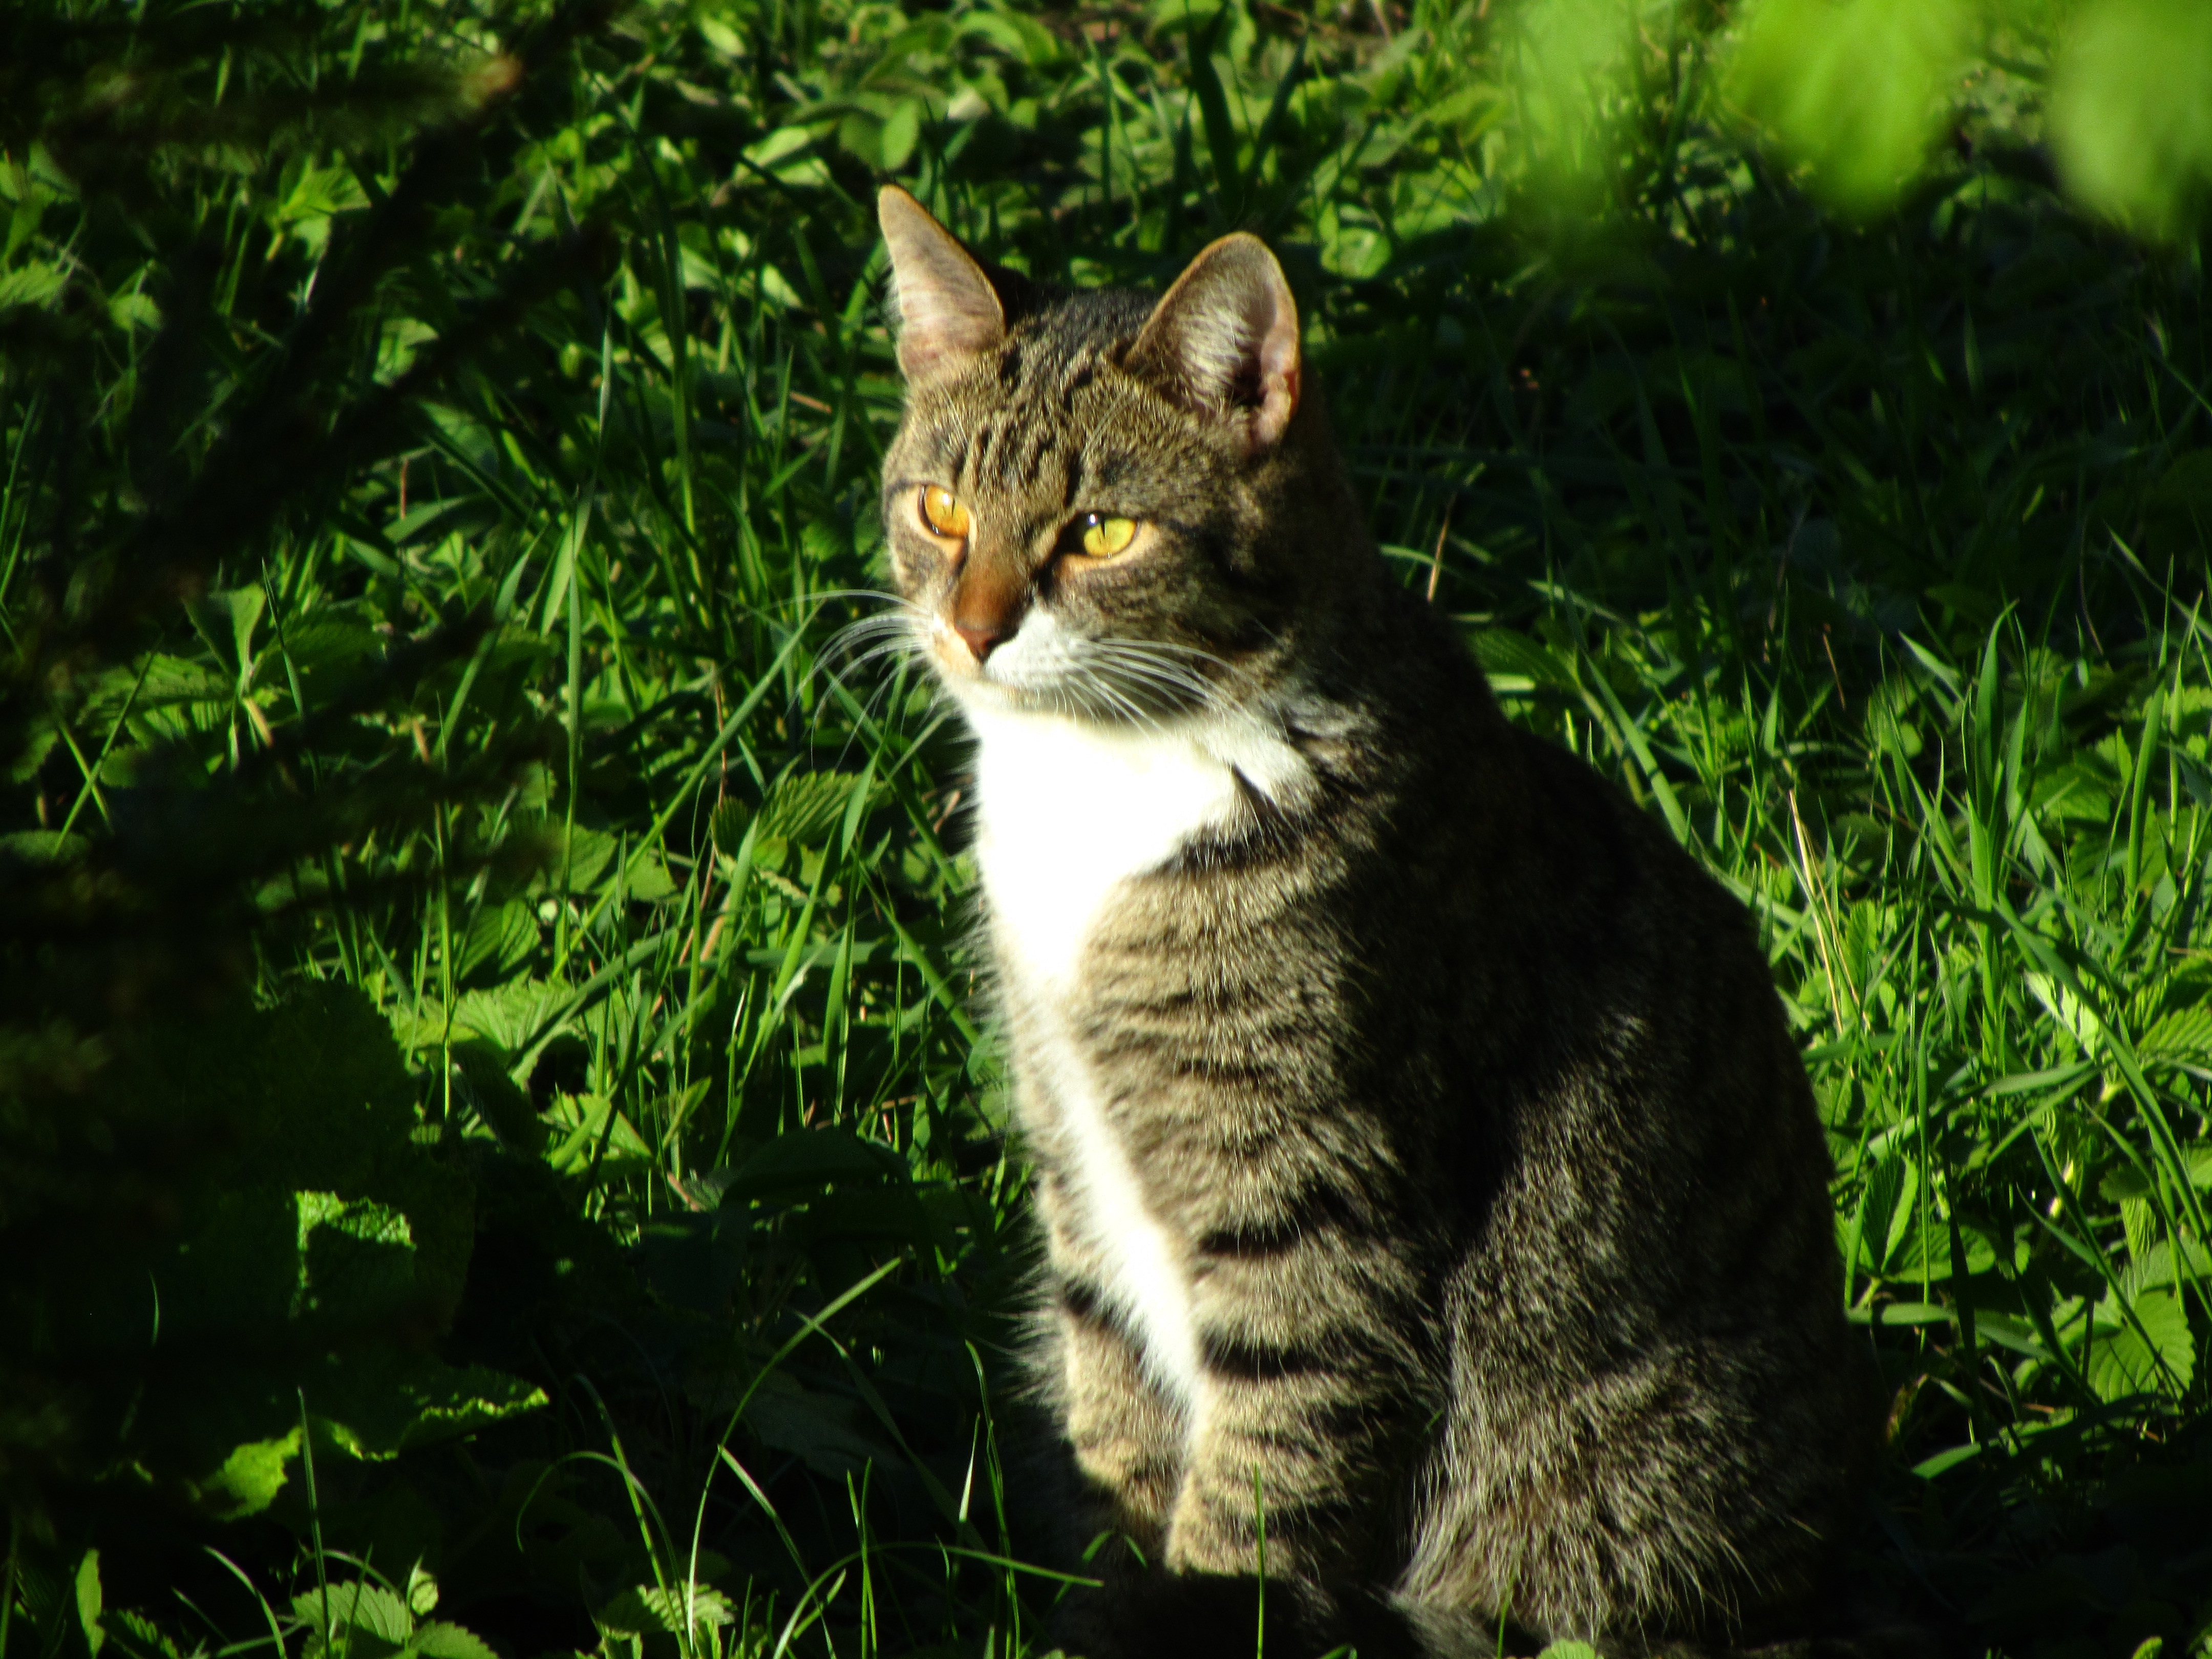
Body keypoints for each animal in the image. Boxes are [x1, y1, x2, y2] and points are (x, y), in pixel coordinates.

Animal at [871, 184, 1876, 1659]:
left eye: (1101, 532)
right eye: (940, 510)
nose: (972, 627)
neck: (1106, 778)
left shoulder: (1316, 1200)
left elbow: (1261, 1475)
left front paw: (1193, 1611)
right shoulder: (1074, 1165)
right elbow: (1114, 1420)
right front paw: (1102, 1601)